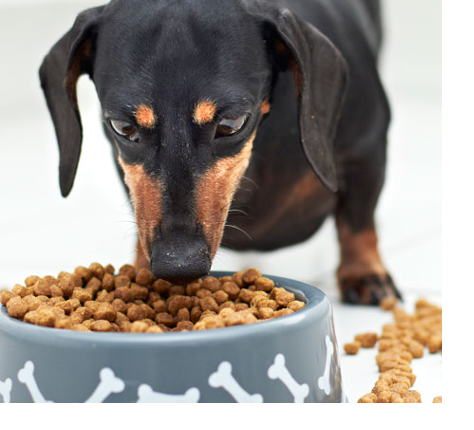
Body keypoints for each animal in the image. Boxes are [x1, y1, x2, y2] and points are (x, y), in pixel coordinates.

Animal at [39, 0, 400, 306]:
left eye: (231, 123)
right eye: (123, 127)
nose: (178, 265)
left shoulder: (366, 151)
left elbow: (358, 220)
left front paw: (364, 272)